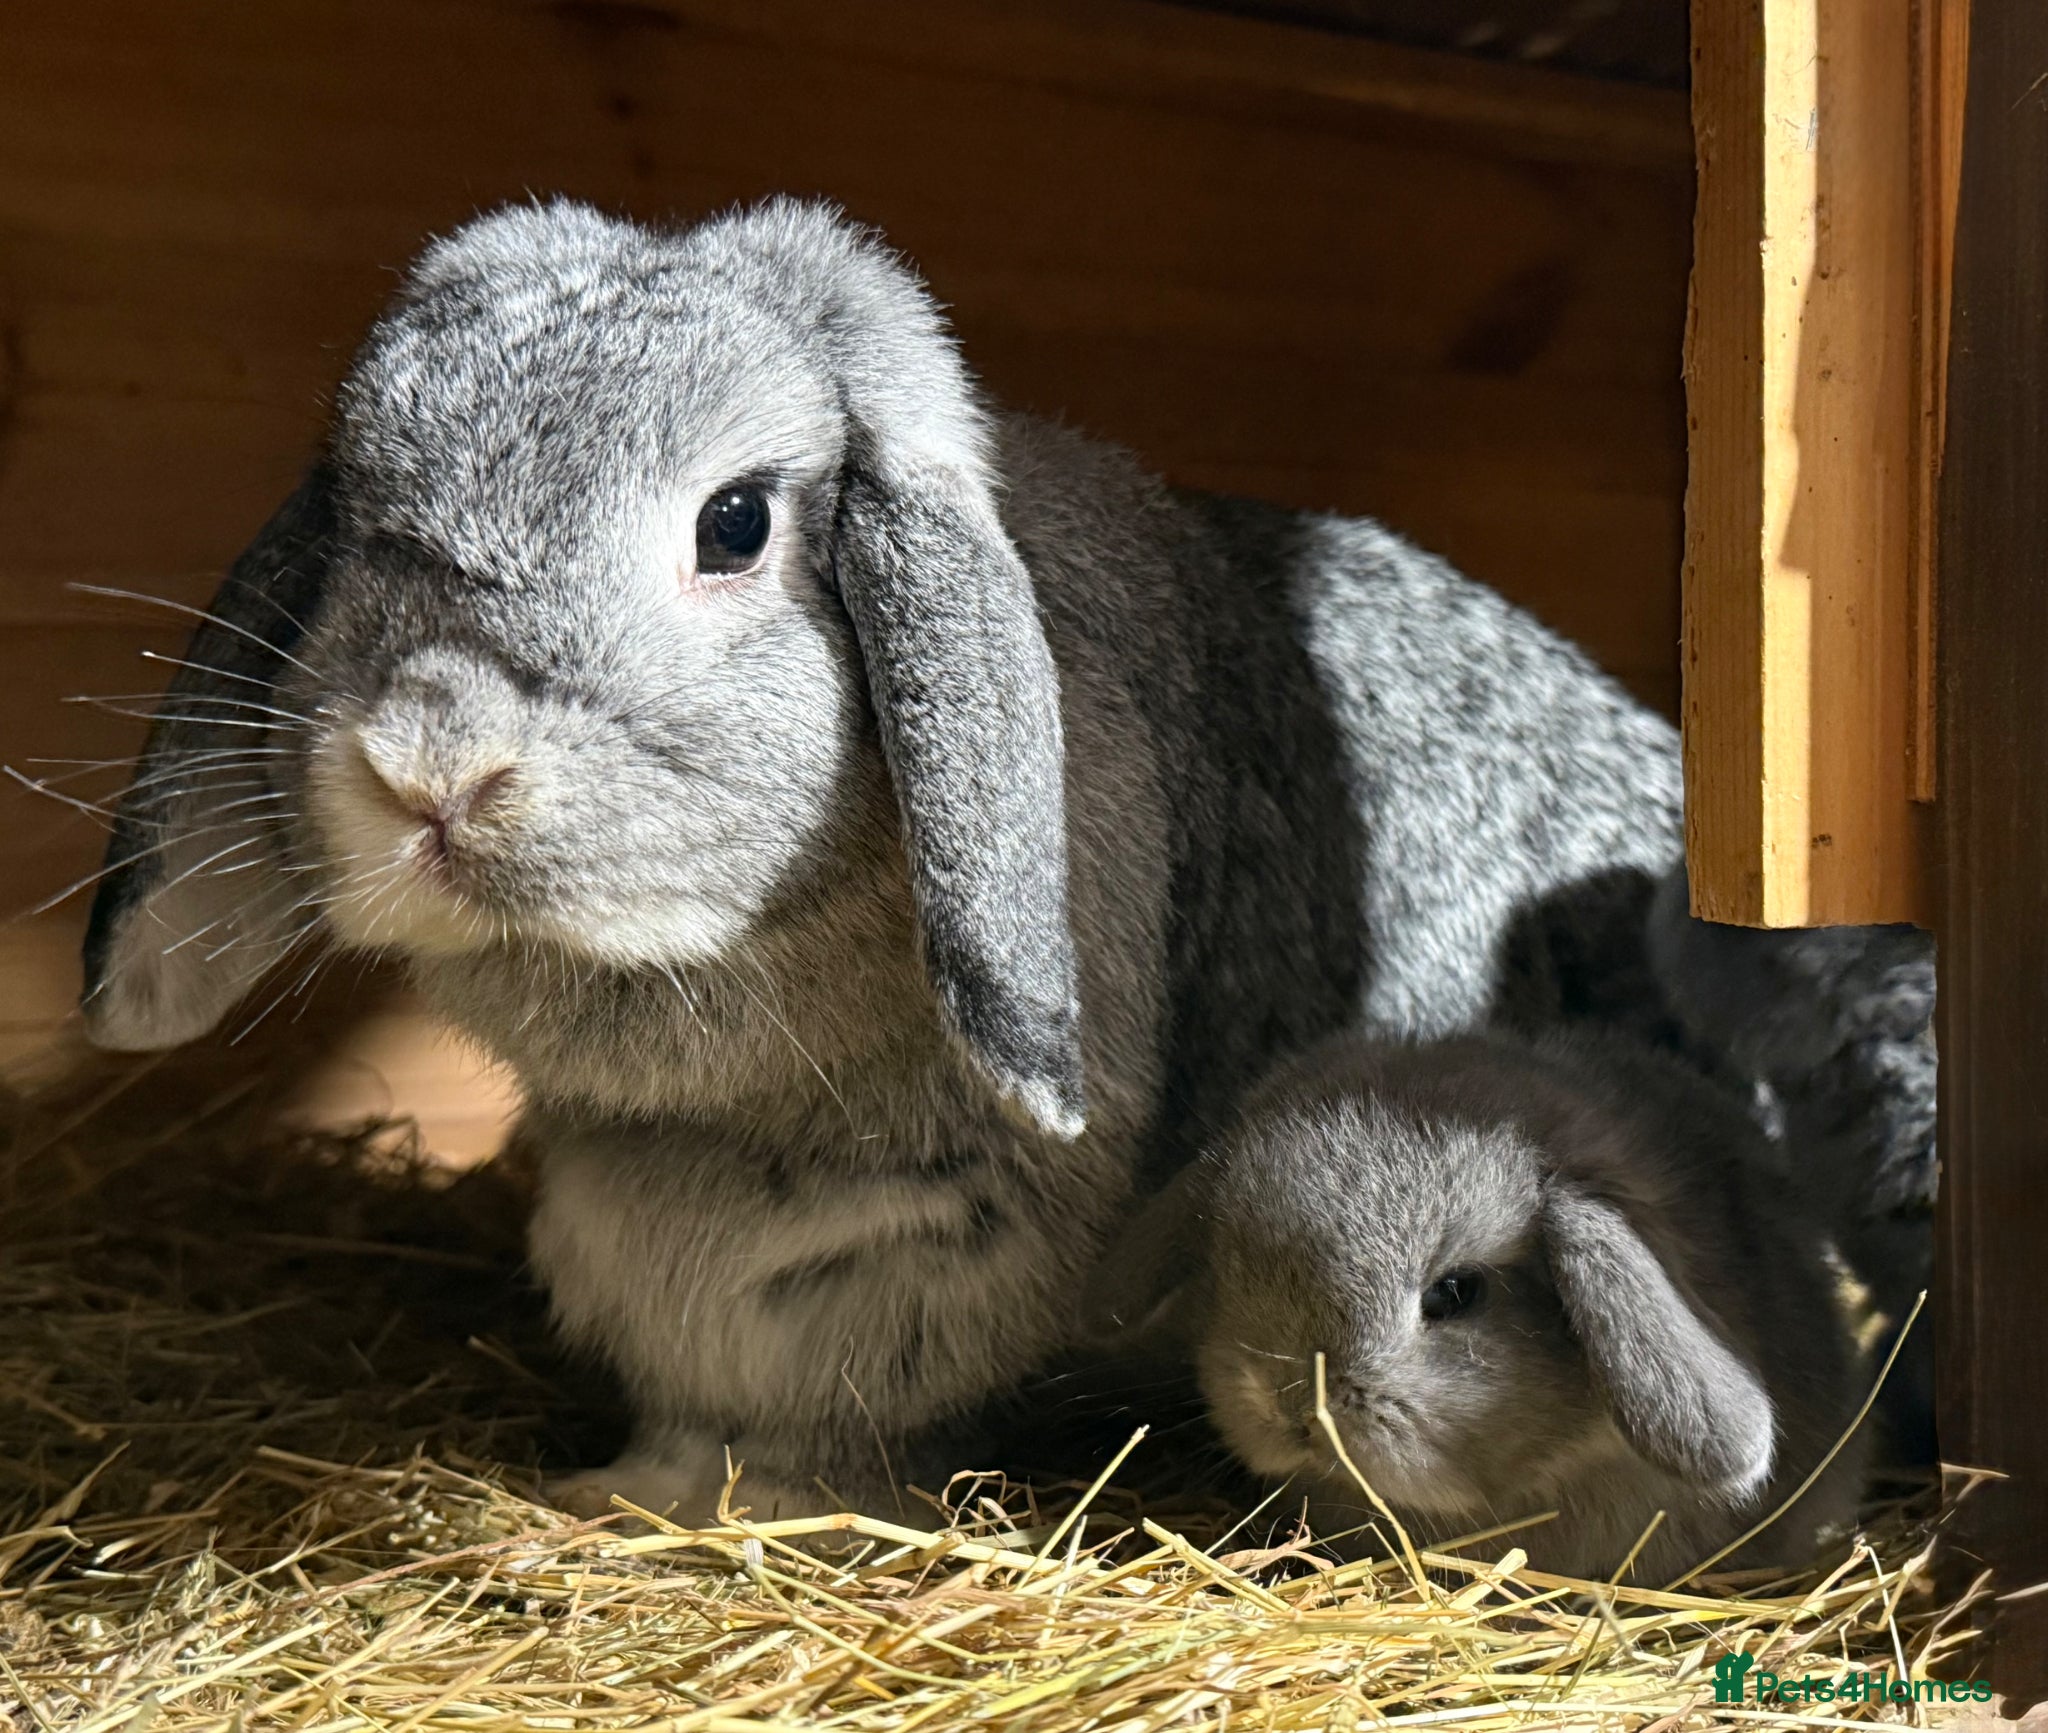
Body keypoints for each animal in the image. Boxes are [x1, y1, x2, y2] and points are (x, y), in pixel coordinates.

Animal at [71, 197, 1910, 1524]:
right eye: (360, 505)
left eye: (735, 520)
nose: (427, 766)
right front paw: (611, 1493)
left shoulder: (920, 1242)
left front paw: (726, 1507)